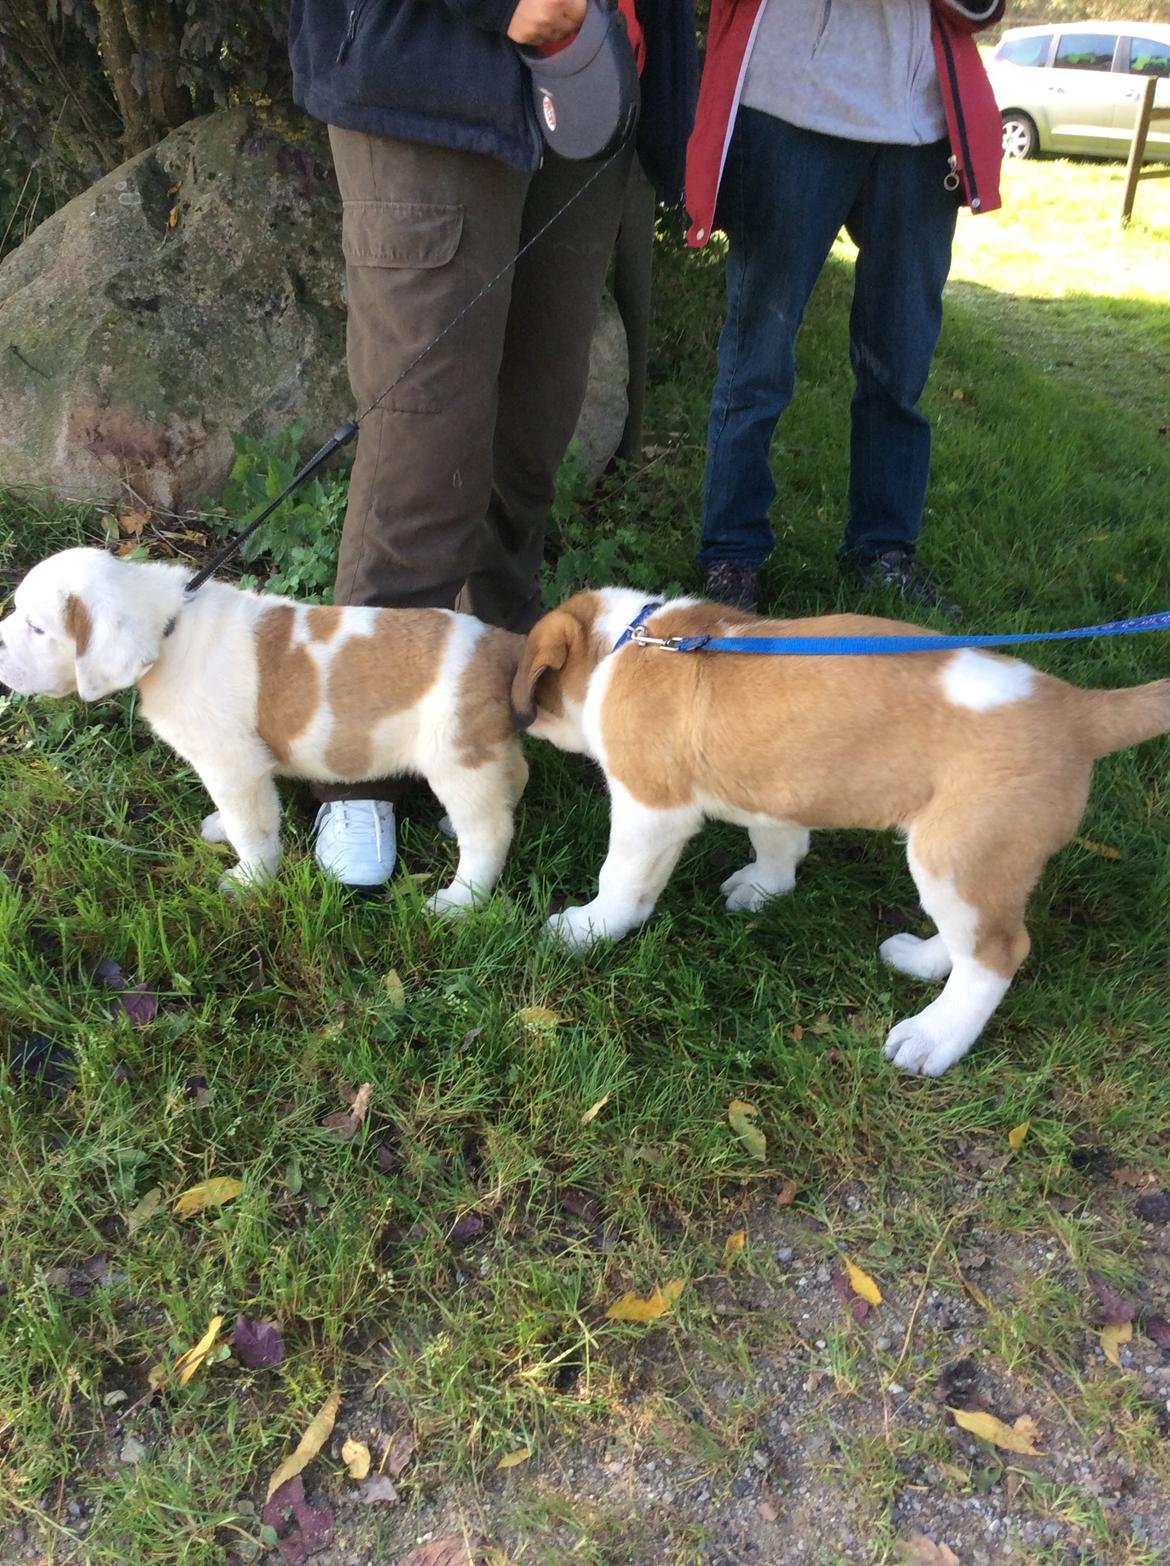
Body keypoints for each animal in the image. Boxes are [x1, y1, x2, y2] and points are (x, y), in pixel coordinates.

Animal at [0, 548, 529, 908]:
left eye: (38, 628)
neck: (171, 629)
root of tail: (501, 643)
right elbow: (235, 816)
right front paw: (220, 827)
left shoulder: (234, 766)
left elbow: (251, 828)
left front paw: (248, 880)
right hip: (481, 751)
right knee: (514, 777)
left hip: (456, 758)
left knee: (490, 836)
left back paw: (460, 903)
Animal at [513, 588, 1170, 1077]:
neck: (627, 642)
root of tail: (1078, 710)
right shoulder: (776, 786)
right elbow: (778, 841)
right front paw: (766, 889)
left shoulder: (651, 807)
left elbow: (621, 879)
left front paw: (588, 928)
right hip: (964, 866)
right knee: (971, 939)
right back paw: (922, 961)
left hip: (956, 853)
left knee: (998, 952)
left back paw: (934, 1037)